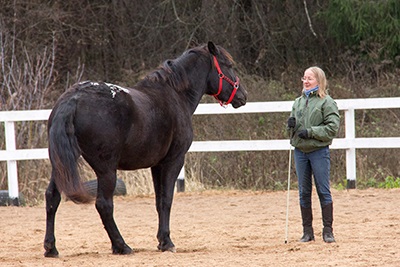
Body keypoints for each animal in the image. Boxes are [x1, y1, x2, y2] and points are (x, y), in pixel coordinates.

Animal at [44, 42, 247, 258]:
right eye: (229, 65)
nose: (243, 96)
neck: (175, 95)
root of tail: (73, 99)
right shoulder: (174, 160)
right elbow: (166, 200)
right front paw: (167, 242)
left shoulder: (157, 165)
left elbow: (158, 201)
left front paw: (160, 240)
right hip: (106, 169)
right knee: (104, 204)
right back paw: (121, 246)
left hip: (61, 165)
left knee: (52, 197)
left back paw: (51, 248)